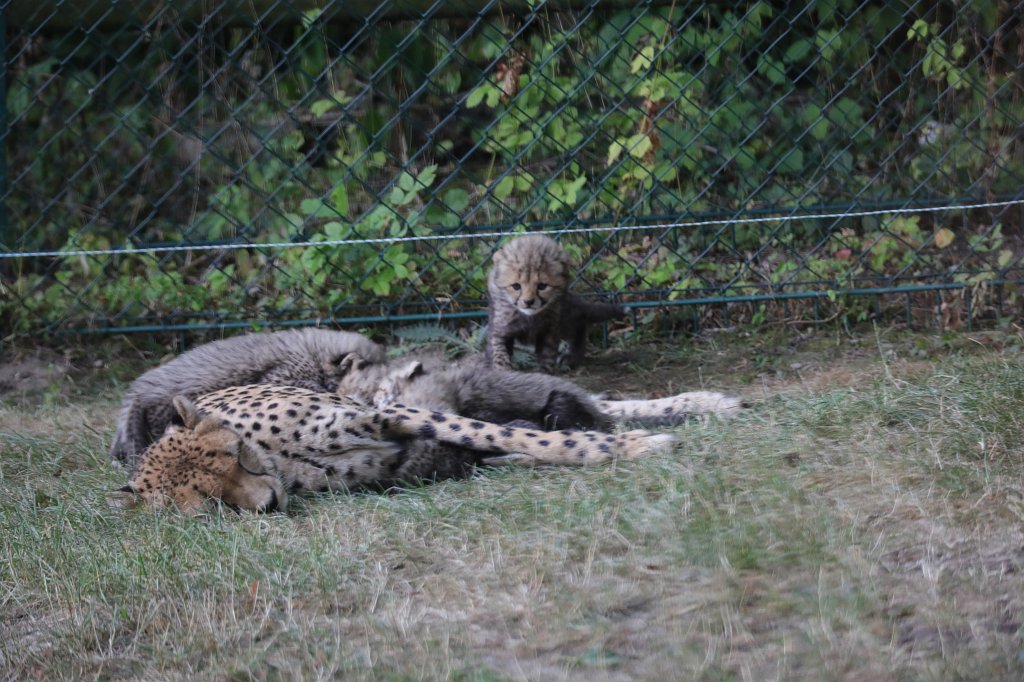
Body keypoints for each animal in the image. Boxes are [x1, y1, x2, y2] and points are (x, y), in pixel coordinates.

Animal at [486, 234, 626, 373]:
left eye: (542, 286)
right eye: (516, 286)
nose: (528, 302)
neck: (529, 317)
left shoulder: (550, 331)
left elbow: (547, 358)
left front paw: (543, 374)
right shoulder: (501, 330)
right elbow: (499, 353)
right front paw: (502, 370)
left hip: (564, 318)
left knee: (578, 324)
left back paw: (572, 356)